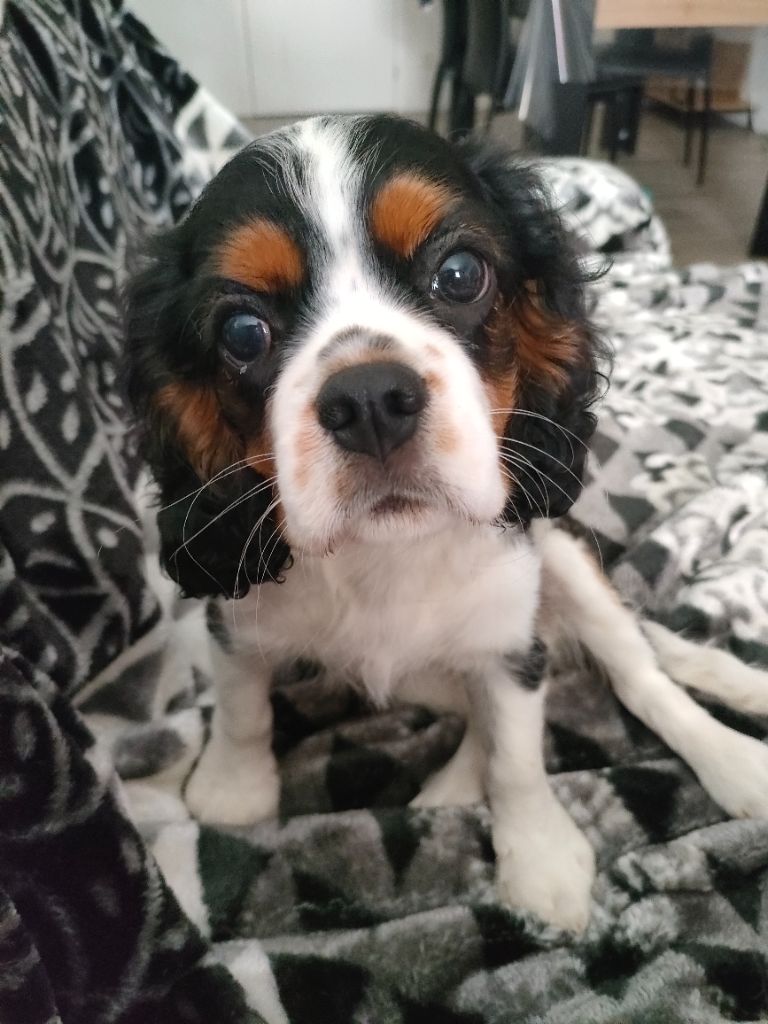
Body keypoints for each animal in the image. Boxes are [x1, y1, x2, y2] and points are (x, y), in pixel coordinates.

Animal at [126, 114, 768, 933]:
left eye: (461, 275)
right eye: (243, 333)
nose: (369, 398)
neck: (388, 553)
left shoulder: (511, 632)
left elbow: (519, 755)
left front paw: (539, 857)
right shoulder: (239, 617)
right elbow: (242, 706)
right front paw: (234, 789)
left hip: (566, 565)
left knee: (641, 673)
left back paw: (731, 758)